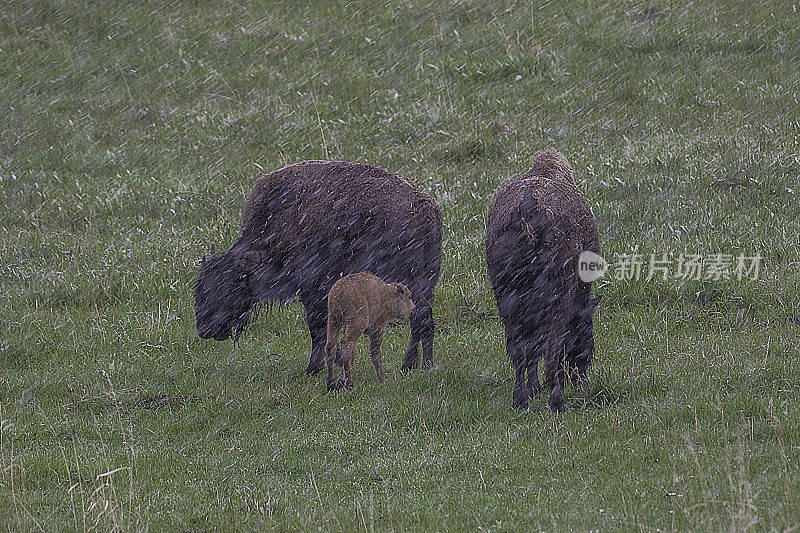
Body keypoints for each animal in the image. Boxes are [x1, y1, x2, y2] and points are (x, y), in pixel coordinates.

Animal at [194, 160, 444, 372]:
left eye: (226, 287)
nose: (204, 329)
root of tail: (425, 207)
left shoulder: (313, 289)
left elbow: (318, 328)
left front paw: (314, 368)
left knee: (421, 317)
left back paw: (424, 365)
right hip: (424, 280)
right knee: (419, 318)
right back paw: (411, 365)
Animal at [484, 150, 604, 412]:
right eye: (587, 340)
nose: (579, 380)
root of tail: (527, 214)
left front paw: (533, 389)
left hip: (505, 295)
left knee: (518, 349)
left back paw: (520, 400)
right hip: (555, 298)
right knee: (550, 350)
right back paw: (556, 402)